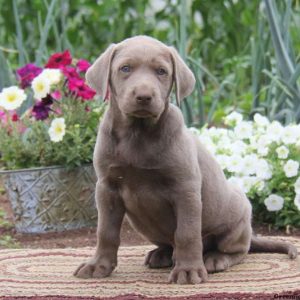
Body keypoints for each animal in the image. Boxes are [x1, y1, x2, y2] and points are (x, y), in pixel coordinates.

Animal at [74, 35, 298, 284]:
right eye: (125, 68)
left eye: (161, 71)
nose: (144, 96)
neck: (138, 133)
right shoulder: (107, 187)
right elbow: (106, 231)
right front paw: (98, 266)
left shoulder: (186, 189)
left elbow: (187, 233)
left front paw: (188, 271)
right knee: (170, 243)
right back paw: (161, 254)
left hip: (237, 216)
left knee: (239, 249)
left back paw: (215, 259)